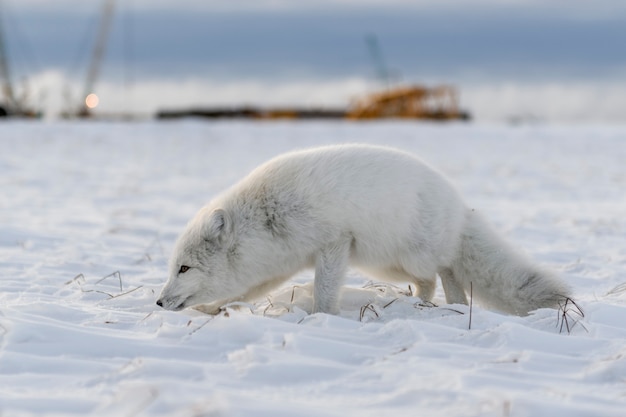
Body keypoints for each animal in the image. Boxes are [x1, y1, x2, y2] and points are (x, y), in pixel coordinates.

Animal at [155, 144, 564, 316]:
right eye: (174, 267)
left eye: (184, 268)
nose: (158, 302)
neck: (264, 218)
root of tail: (461, 207)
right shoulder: (276, 266)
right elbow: (244, 291)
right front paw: (213, 310)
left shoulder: (335, 242)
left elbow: (324, 290)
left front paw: (320, 318)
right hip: (384, 264)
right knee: (430, 280)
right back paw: (423, 303)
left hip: (411, 255)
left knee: (446, 270)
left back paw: (454, 305)